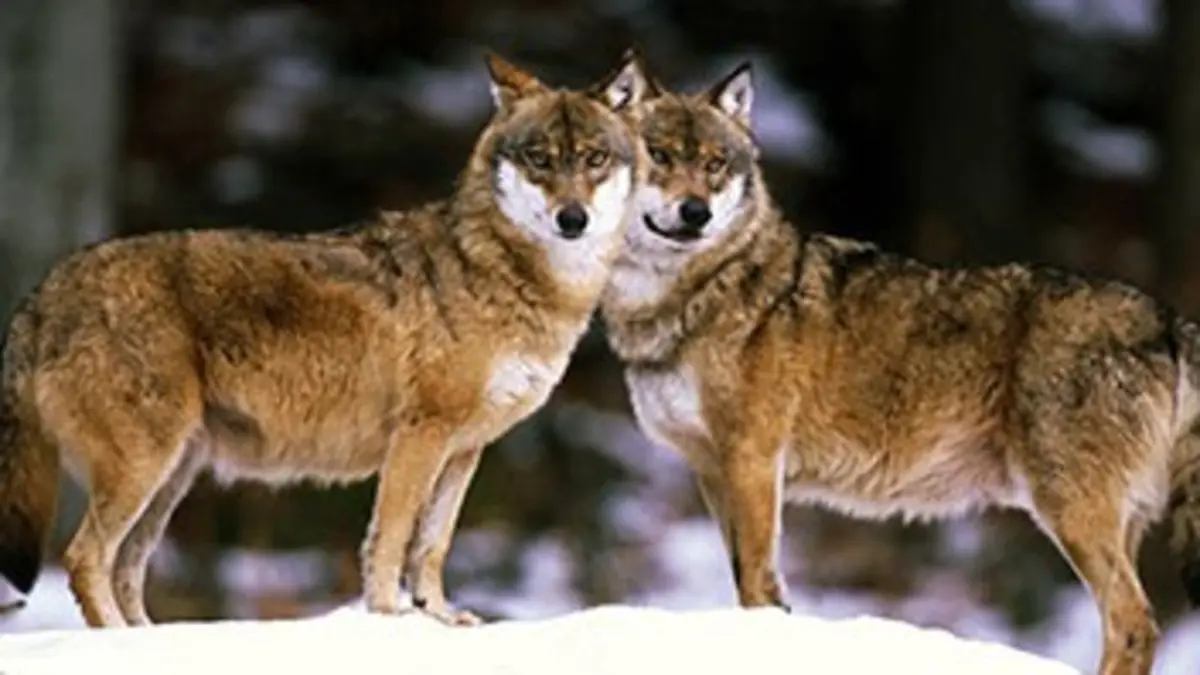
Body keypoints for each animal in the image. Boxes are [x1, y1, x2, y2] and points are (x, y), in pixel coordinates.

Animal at [0, 50, 651, 629]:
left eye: (594, 159)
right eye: (540, 159)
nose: (573, 219)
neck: (508, 274)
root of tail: (45, 288)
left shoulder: (466, 449)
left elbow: (432, 544)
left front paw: (441, 617)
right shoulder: (420, 435)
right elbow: (390, 539)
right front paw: (390, 620)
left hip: (172, 477)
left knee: (127, 570)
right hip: (145, 468)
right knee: (86, 561)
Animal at [600, 59, 1200, 675]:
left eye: (715, 164)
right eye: (659, 155)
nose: (695, 213)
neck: (693, 296)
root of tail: (1168, 320)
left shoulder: (753, 460)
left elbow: (756, 585)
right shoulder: (712, 471)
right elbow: (754, 583)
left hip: (1069, 511)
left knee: (1134, 622)